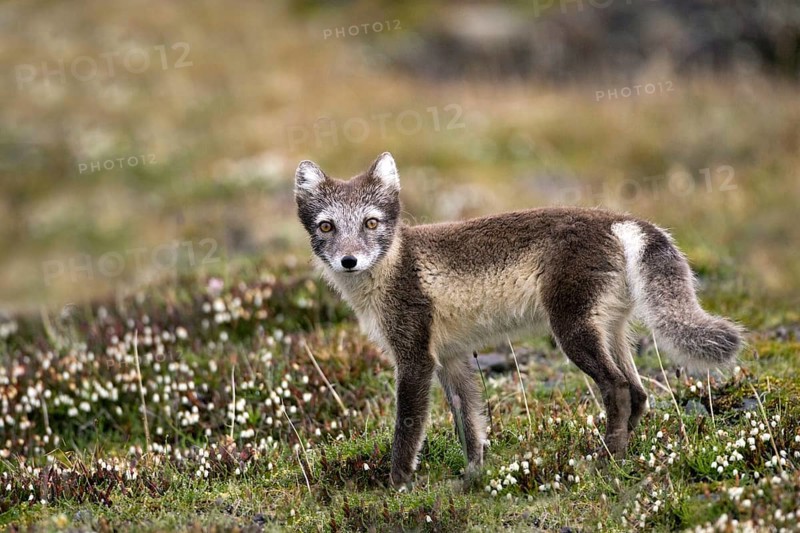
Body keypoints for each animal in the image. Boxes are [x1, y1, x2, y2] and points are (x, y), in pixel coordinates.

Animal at [294, 152, 743, 488]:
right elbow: (470, 424)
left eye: (371, 222)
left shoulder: (415, 359)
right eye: (327, 226)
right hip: (609, 329)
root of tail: (620, 221)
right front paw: (473, 477)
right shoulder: (452, 357)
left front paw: (396, 485)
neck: (390, 268)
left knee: (616, 389)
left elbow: (407, 431)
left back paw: (604, 461)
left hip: (572, 330)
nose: (348, 260)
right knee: (638, 392)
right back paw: (622, 453)